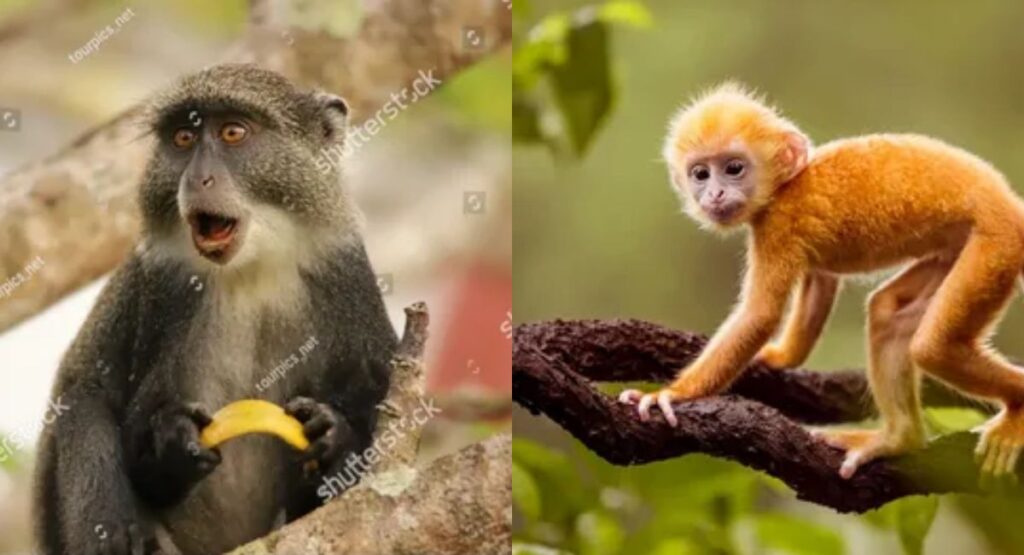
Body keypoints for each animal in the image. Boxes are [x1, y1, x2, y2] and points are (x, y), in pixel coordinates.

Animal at [32, 64, 398, 555]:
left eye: (233, 133)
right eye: (183, 138)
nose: (196, 179)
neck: (250, 268)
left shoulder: (346, 272)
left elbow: (378, 395)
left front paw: (334, 437)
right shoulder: (155, 285)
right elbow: (96, 401)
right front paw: (171, 449)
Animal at [619, 82, 1024, 480]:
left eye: (734, 168)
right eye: (700, 174)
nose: (713, 193)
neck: (785, 185)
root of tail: (1011, 206)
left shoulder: (778, 224)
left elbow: (760, 315)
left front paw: (672, 395)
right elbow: (820, 282)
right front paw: (778, 357)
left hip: (997, 245)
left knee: (932, 347)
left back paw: (1016, 410)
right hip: (960, 250)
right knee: (889, 313)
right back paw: (899, 439)